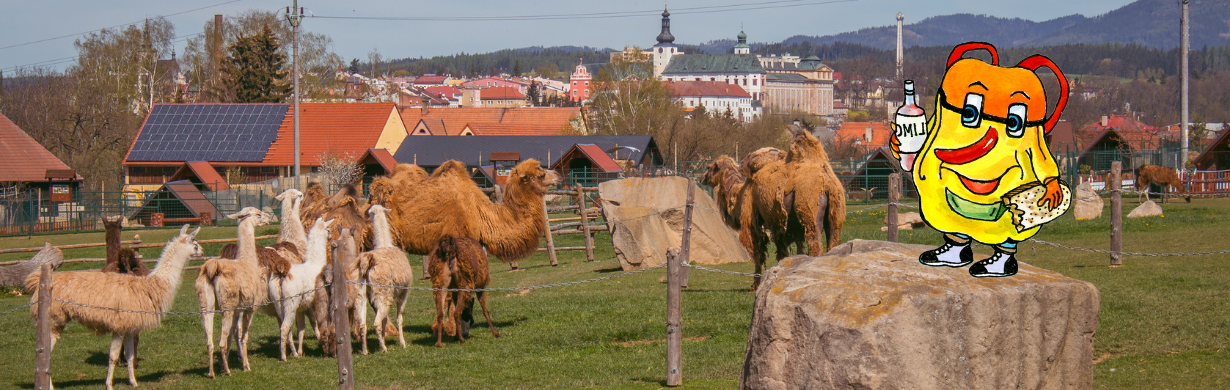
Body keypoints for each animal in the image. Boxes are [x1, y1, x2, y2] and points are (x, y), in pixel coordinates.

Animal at [26, 222, 201, 386]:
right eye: (195, 243)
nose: (202, 251)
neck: (151, 286)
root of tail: (38, 283)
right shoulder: (120, 324)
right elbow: (113, 356)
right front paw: (109, 384)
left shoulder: (130, 326)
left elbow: (129, 356)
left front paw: (133, 382)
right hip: (54, 319)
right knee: (44, 353)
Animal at [195, 207, 289, 374]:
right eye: (258, 214)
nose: (269, 217)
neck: (248, 261)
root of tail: (212, 267)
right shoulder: (249, 307)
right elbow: (244, 336)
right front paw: (246, 366)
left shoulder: (237, 310)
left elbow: (234, 334)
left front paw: (227, 363)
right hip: (226, 305)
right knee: (221, 342)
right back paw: (227, 371)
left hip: (205, 305)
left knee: (210, 342)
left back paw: (212, 372)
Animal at [269, 215, 334, 359]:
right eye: (328, 229)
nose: (331, 236)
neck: (315, 263)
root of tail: (282, 273)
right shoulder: (314, 303)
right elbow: (316, 323)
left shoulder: (303, 307)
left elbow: (302, 329)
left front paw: (300, 351)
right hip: (290, 302)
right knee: (285, 327)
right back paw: (283, 357)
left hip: (279, 303)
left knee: (286, 328)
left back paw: (294, 353)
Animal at [356, 202, 413, 351]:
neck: (385, 243)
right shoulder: (404, 291)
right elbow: (399, 318)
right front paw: (402, 343)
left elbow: (386, 319)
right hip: (383, 293)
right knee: (376, 322)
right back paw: (383, 348)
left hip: (362, 293)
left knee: (363, 324)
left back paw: (365, 350)